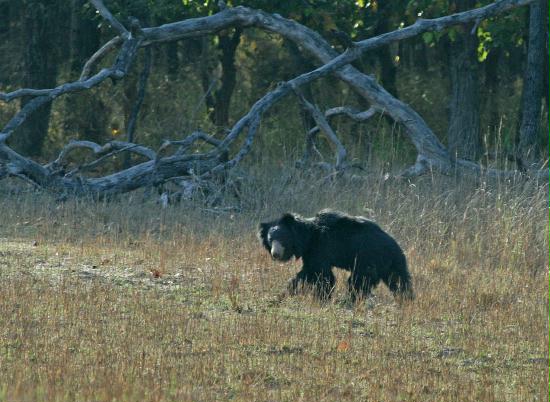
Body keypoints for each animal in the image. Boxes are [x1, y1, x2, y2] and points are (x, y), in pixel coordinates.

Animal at [258, 210, 414, 302]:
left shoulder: (321, 247)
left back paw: (350, 299)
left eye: (283, 239)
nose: (275, 254)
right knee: (399, 281)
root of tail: (395, 247)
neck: (307, 238)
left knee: (358, 281)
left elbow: (321, 274)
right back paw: (406, 299)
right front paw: (285, 293)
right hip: (393, 264)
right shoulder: (309, 253)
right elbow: (307, 272)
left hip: (368, 259)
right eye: (270, 239)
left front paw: (321, 297)